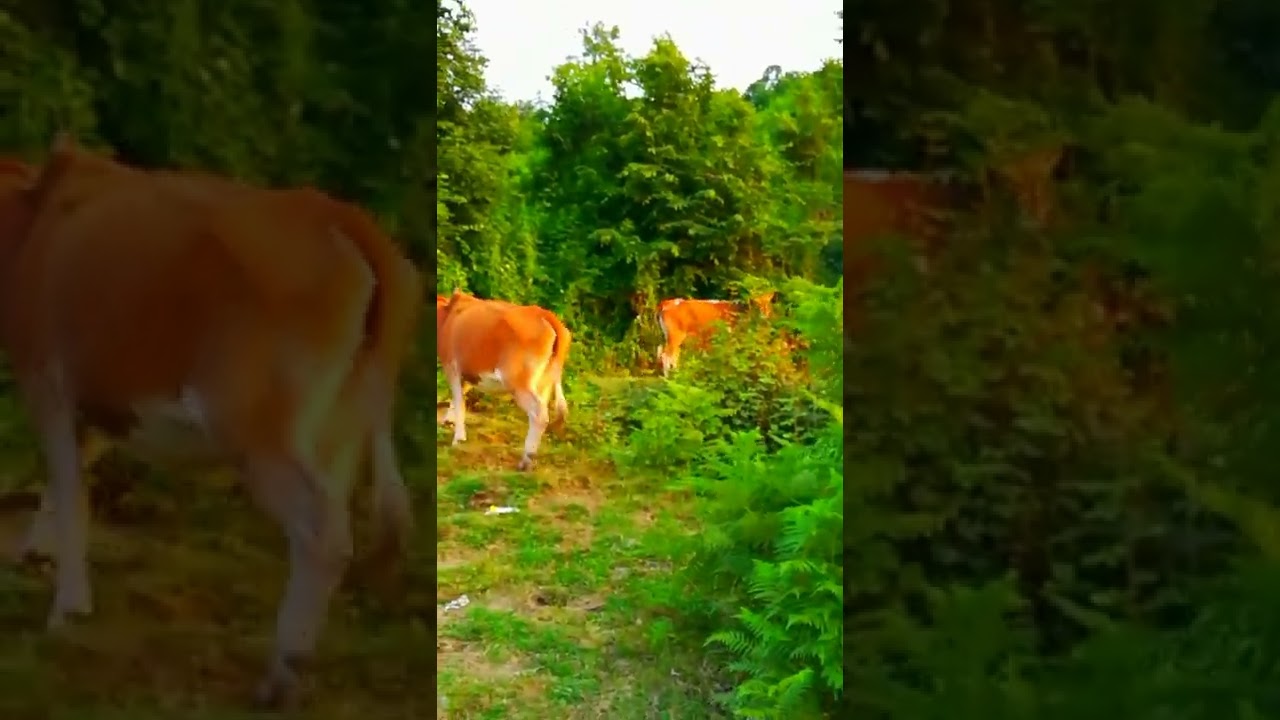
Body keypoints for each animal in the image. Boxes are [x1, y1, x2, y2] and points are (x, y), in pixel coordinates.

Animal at [0, 137, 422, 708]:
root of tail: (337, 212)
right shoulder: (97, 398)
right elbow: (69, 476)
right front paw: (35, 554)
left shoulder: (45, 376)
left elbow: (70, 489)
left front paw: (67, 609)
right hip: (340, 423)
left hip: (253, 421)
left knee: (321, 529)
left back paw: (282, 674)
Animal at [435, 290, 570, 470]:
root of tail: (543, 313)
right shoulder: (467, 372)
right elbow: (459, 396)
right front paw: (448, 421)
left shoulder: (451, 366)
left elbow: (459, 400)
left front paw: (458, 439)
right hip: (544, 380)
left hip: (517, 380)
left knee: (538, 413)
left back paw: (526, 460)